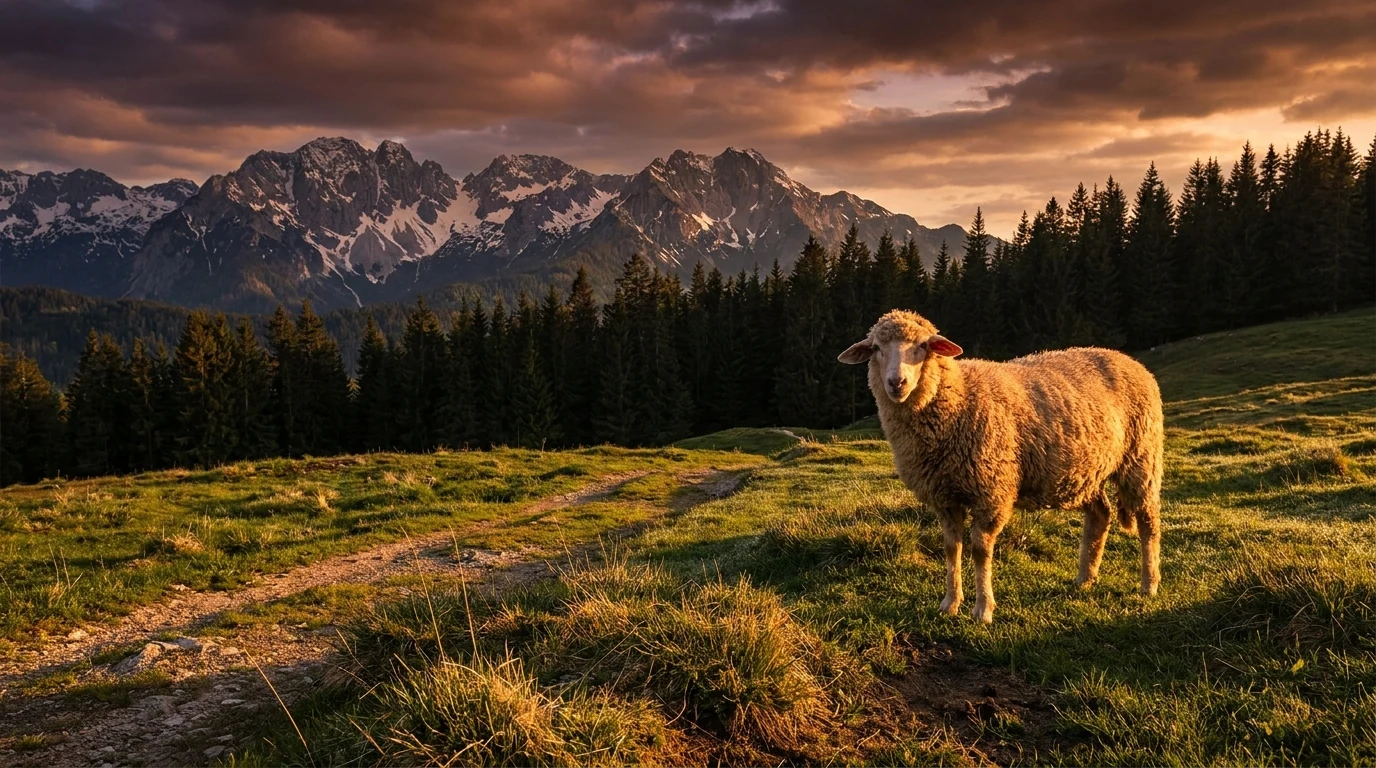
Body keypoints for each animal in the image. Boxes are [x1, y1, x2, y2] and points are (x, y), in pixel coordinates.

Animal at [838, 309, 1163, 623]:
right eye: (876, 348)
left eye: (923, 346)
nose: (897, 383)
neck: (958, 398)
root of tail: (1129, 360)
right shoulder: (944, 497)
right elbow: (951, 548)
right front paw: (950, 603)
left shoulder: (991, 492)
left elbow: (980, 550)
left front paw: (983, 609)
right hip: (1085, 472)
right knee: (1100, 515)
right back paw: (1085, 578)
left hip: (1141, 457)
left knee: (1148, 521)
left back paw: (1149, 584)